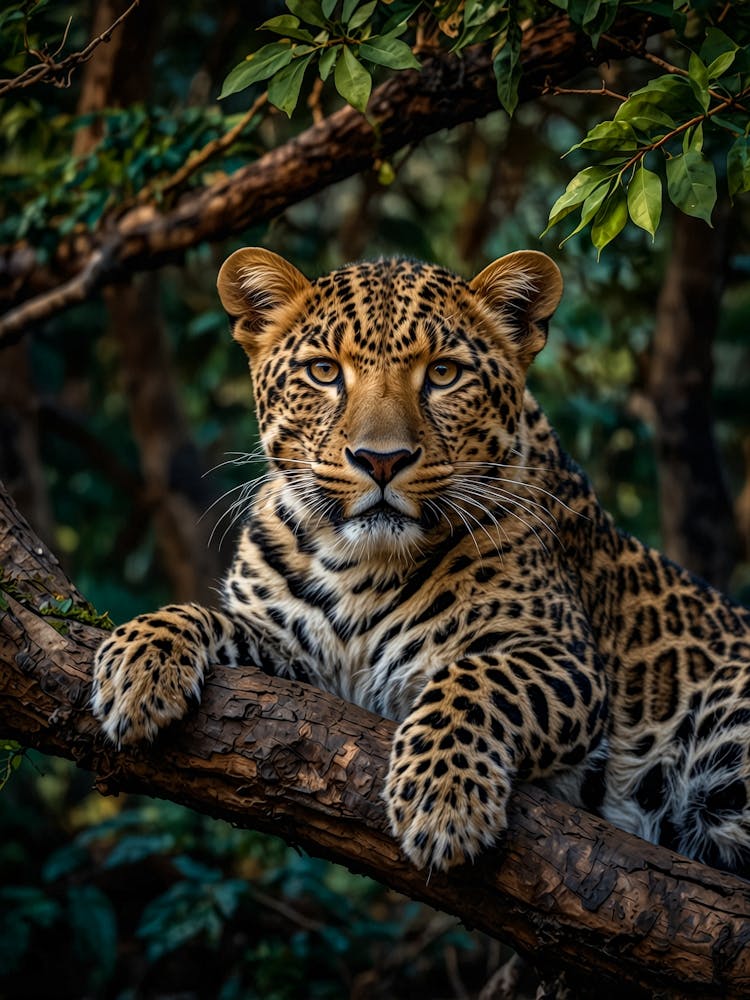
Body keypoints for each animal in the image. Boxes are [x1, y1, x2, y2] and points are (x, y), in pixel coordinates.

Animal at [92, 247, 750, 877]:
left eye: (443, 373)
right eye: (324, 371)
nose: (380, 460)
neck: (358, 565)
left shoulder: (567, 658)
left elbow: (475, 679)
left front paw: (446, 801)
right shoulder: (299, 664)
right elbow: (206, 616)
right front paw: (137, 663)